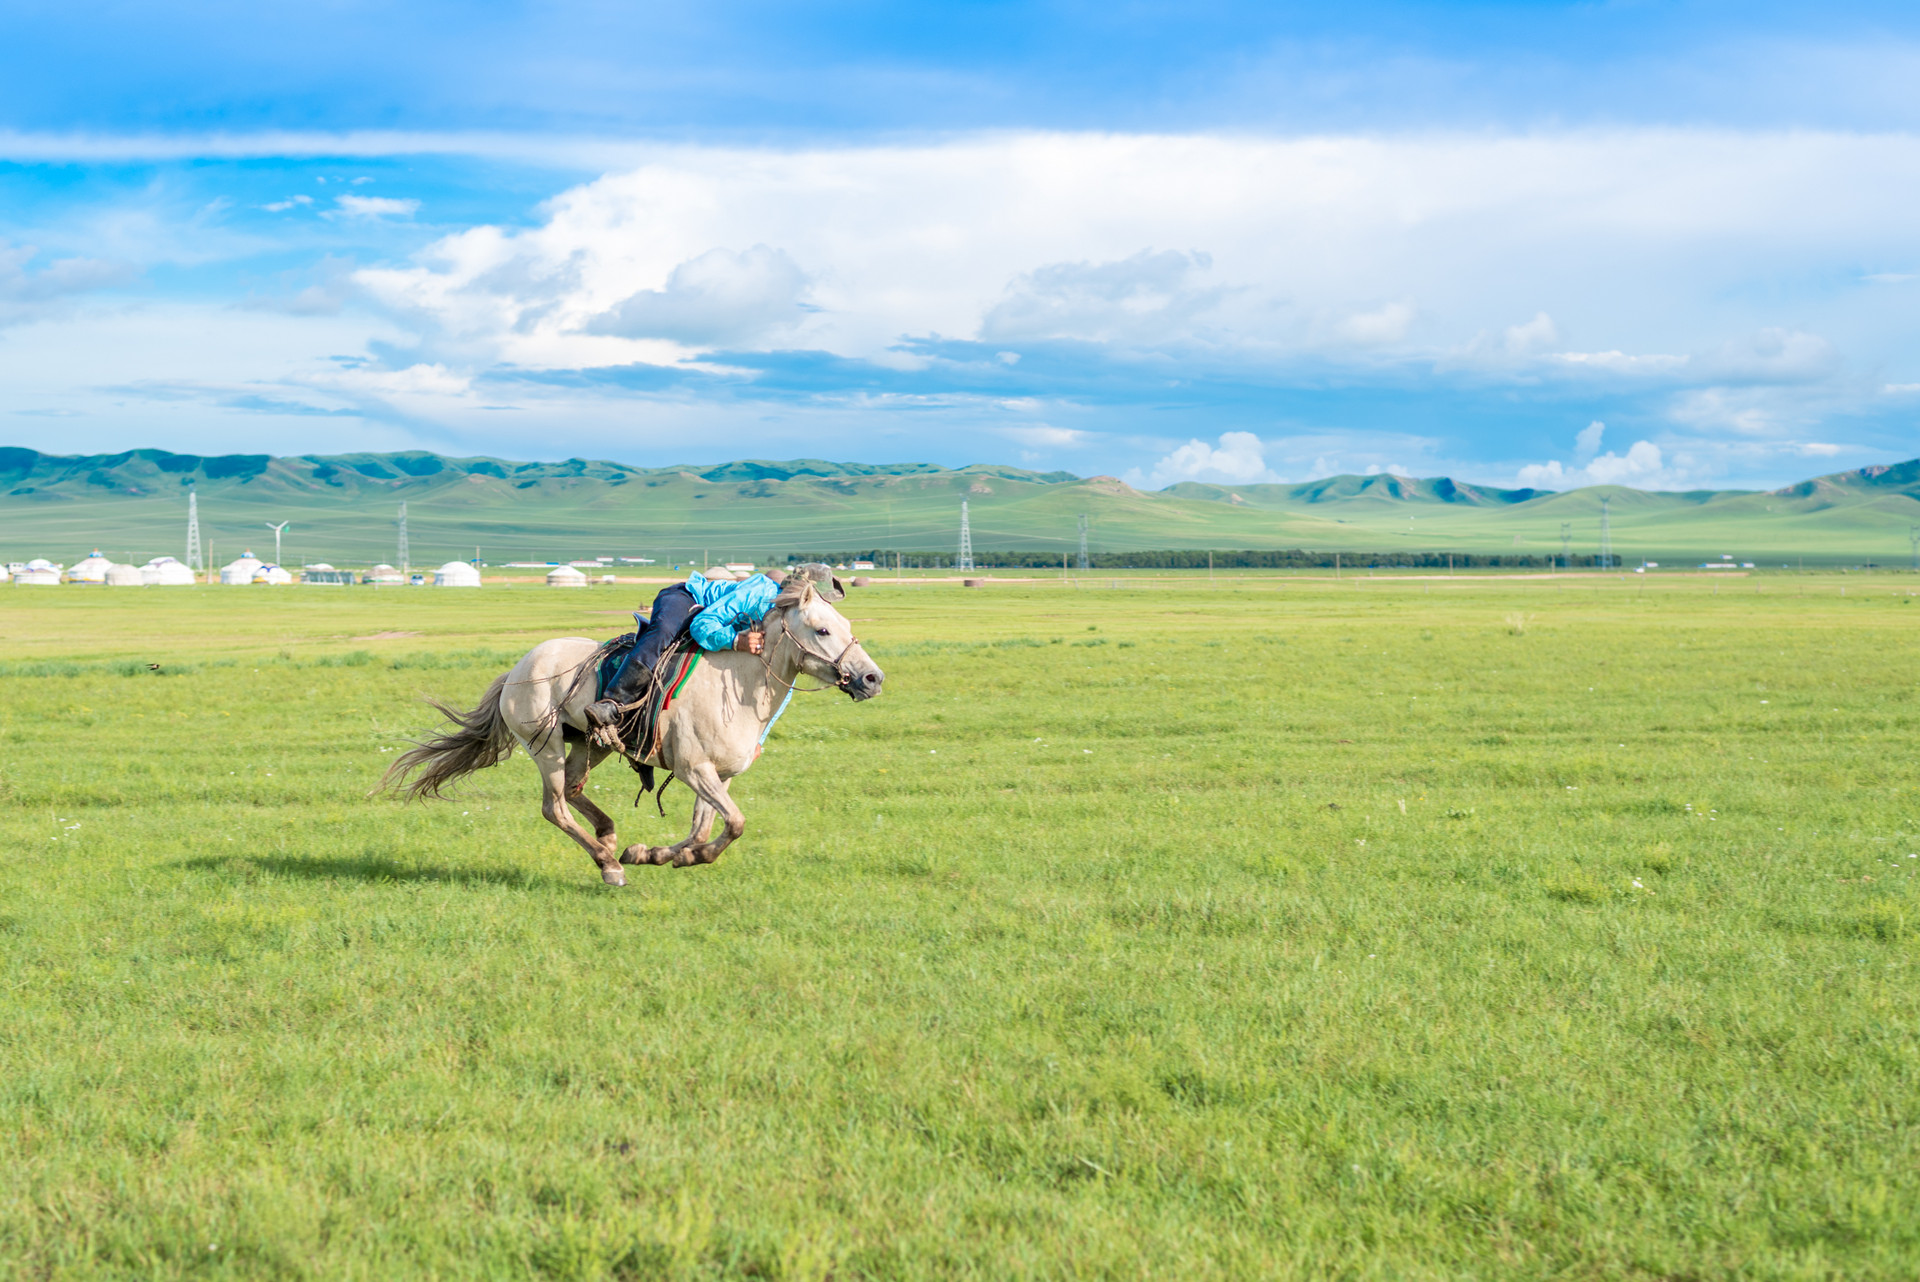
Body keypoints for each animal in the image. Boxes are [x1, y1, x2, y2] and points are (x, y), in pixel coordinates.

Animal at [374, 579, 883, 886]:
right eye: (822, 630)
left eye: (845, 625)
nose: (872, 678)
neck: (738, 684)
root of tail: (516, 670)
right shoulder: (695, 769)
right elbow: (733, 824)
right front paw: (652, 856)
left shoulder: (716, 776)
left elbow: (704, 830)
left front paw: (656, 854)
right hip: (546, 746)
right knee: (555, 807)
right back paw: (609, 865)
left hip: (587, 743)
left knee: (574, 792)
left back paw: (609, 838)